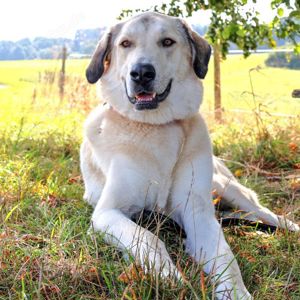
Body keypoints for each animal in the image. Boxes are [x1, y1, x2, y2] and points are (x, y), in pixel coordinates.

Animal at [81, 11, 298, 298]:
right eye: (125, 44)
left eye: (167, 42)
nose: (141, 73)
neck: (157, 127)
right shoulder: (108, 212)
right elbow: (150, 238)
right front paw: (167, 275)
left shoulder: (198, 213)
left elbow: (226, 258)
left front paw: (235, 292)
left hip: (230, 191)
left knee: (268, 216)